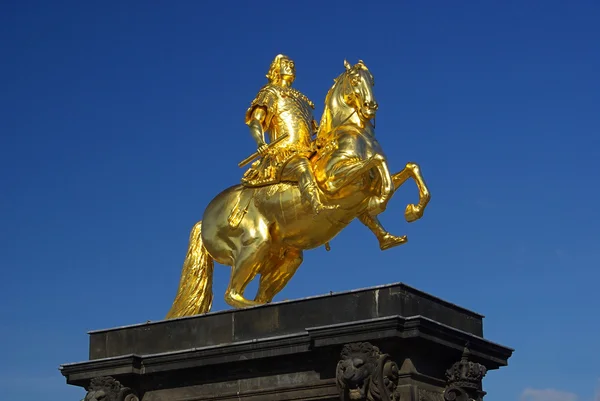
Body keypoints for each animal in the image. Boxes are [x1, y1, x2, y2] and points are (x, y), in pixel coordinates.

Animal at [166, 58, 428, 318]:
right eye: (355, 80)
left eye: (371, 79)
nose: (370, 105)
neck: (351, 134)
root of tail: (204, 220)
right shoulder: (333, 182)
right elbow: (377, 163)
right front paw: (380, 203)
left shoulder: (367, 186)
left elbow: (410, 168)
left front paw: (411, 212)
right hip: (254, 244)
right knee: (232, 294)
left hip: (284, 257)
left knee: (259, 293)